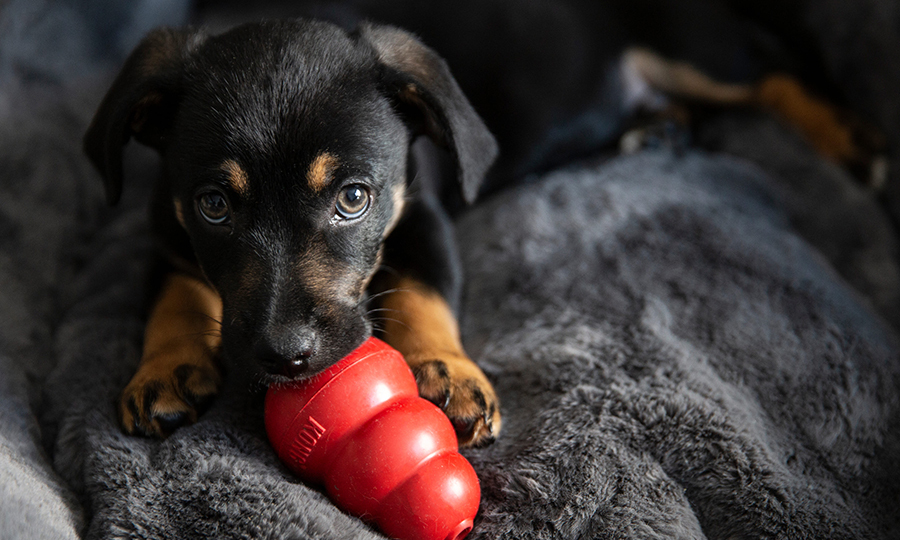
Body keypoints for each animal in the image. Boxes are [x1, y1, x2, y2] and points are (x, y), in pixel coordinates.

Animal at [82, 19, 506, 448]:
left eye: (353, 197)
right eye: (214, 205)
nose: (286, 355)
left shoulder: (424, 219)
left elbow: (423, 291)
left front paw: (446, 368)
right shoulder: (168, 233)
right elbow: (175, 297)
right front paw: (165, 369)